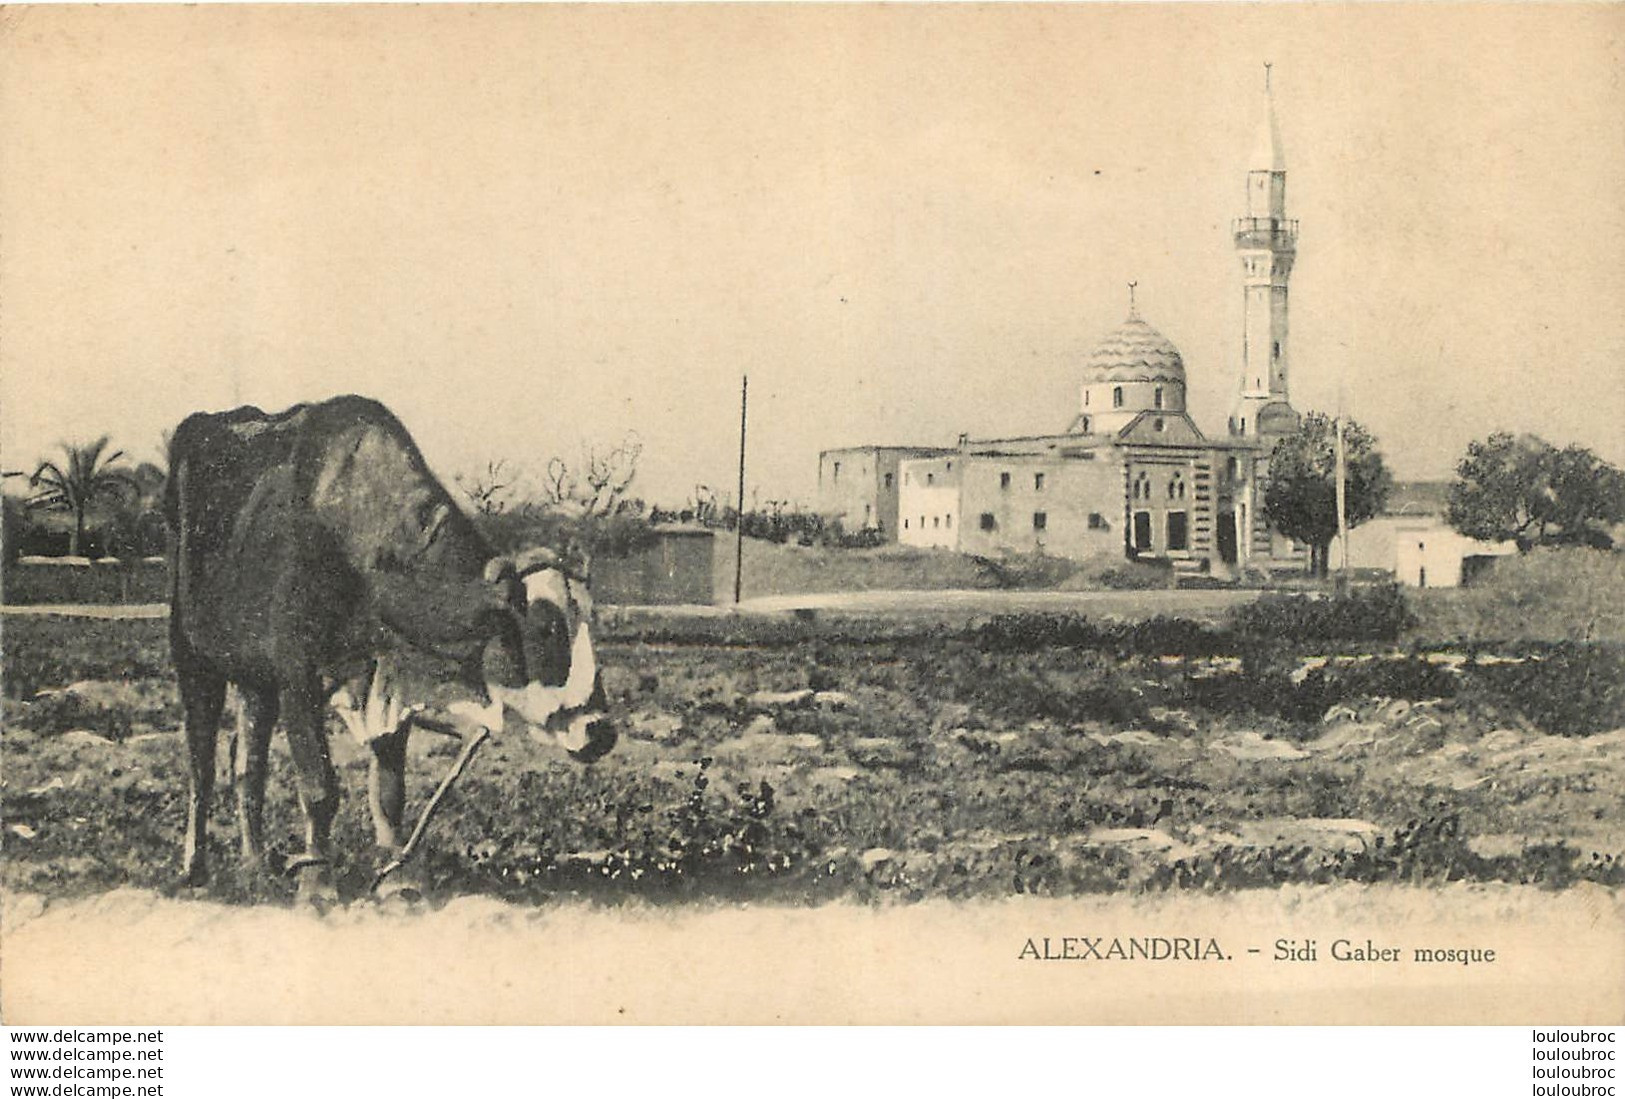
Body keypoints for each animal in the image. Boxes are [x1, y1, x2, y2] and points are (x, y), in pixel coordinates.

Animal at [168, 399, 614, 897]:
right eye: (544, 630)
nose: (600, 732)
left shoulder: (385, 679)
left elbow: (388, 790)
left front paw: (395, 881)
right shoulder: (296, 675)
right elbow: (319, 789)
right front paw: (318, 884)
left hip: (252, 674)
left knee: (249, 766)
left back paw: (256, 865)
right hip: (192, 653)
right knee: (202, 765)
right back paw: (195, 867)